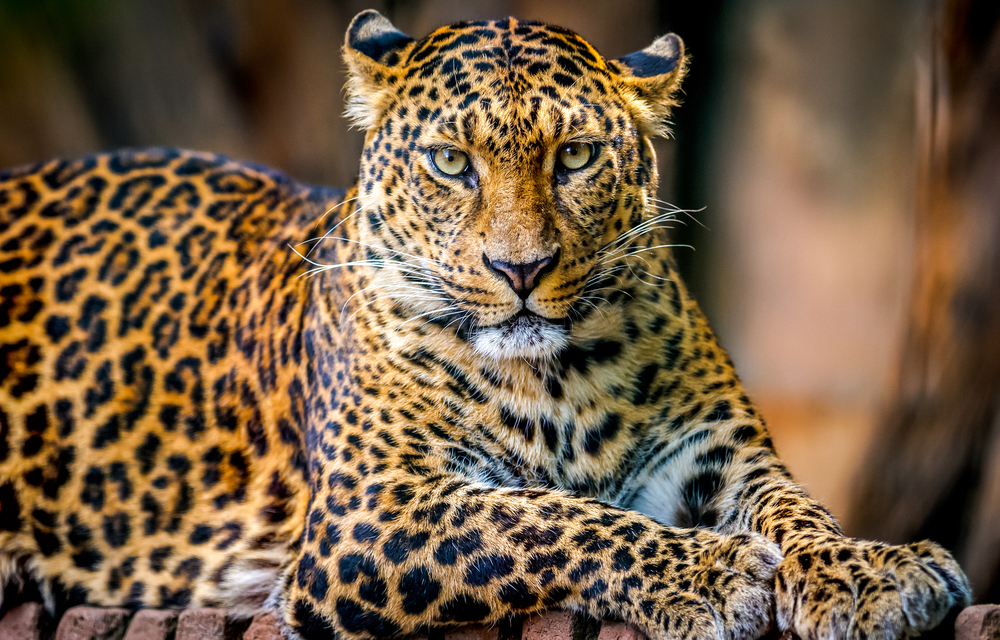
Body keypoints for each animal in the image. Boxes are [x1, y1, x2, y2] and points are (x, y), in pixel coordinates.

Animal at [0, 10, 972, 640]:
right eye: (449, 162)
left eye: (575, 156)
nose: (521, 270)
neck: (560, 378)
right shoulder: (370, 511)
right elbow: (545, 518)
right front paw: (712, 572)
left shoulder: (717, 454)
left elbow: (798, 510)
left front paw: (869, 571)